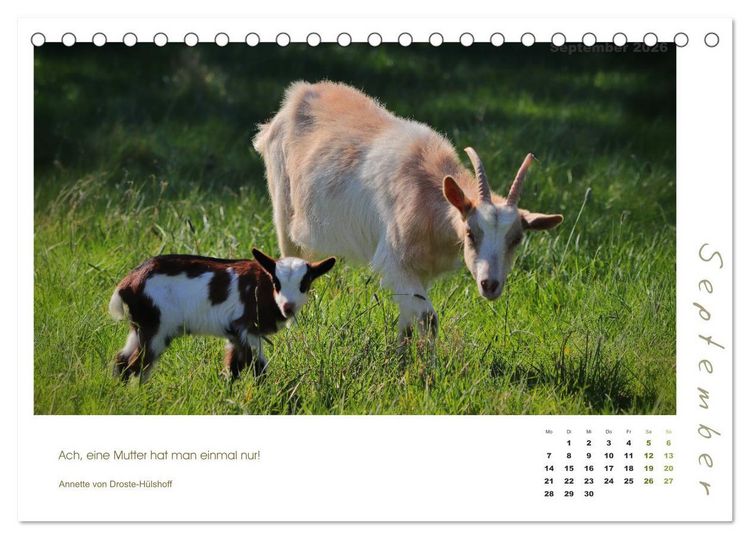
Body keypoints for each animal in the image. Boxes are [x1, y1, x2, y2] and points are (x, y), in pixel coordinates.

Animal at [108, 248, 336, 381]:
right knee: (139, 364)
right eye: (275, 282)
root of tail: (127, 283)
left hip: (140, 325)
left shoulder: (235, 334)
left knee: (123, 361)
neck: (261, 288)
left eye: (304, 283)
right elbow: (257, 368)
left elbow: (232, 369)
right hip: (157, 325)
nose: (288, 307)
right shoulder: (247, 329)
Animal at [253, 81, 562, 338]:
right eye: (470, 233)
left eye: (516, 239)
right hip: (282, 209)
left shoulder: (419, 271)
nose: (490, 284)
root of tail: (296, 96)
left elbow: (410, 322)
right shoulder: (394, 262)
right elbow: (428, 319)